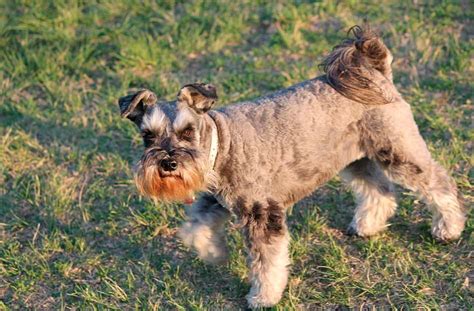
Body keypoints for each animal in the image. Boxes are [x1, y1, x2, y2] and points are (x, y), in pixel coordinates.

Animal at [118, 26, 466, 310]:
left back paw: (448, 229)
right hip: (356, 161)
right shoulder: (215, 201)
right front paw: (215, 254)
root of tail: (377, 71)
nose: (168, 163)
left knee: (438, 183)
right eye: (148, 136)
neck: (222, 146)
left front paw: (263, 297)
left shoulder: (263, 213)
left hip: (398, 152)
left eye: (187, 131)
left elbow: (268, 262)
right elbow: (194, 231)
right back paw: (367, 226)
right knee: (380, 190)